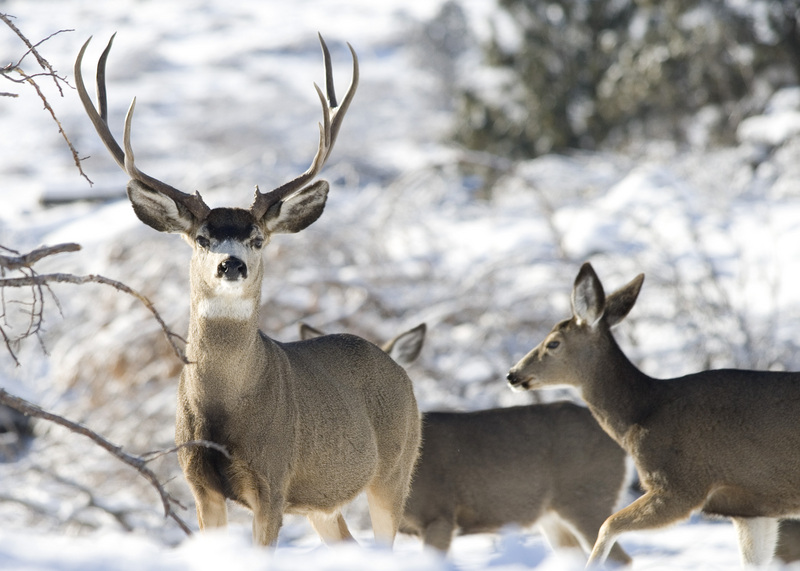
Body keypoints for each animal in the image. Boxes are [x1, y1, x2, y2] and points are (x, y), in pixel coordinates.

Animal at [76, 33, 422, 548]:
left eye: (258, 238)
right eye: (202, 238)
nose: (232, 263)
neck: (226, 405)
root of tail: (397, 367)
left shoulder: (272, 480)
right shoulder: (199, 483)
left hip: (395, 471)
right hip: (323, 502)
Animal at [510, 264, 800, 568]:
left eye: (553, 344)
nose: (513, 375)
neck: (642, 412)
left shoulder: (681, 484)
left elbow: (608, 525)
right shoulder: (752, 508)